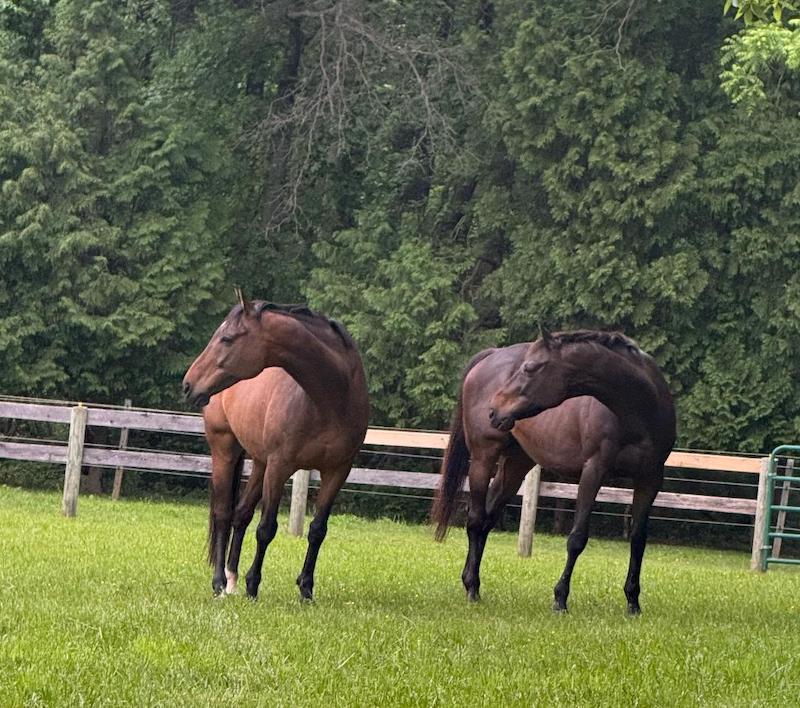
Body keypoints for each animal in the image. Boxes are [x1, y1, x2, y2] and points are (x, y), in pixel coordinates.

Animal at [182, 293, 369, 600]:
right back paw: (219, 583)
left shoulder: (338, 471)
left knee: (241, 514)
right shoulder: (280, 466)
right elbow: (266, 528)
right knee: (223, 514)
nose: (188, 384)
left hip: (260, 463)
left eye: (227, 338)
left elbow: (318, 529)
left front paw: (306, 589)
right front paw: (253, 586)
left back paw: (231, 579)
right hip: (225, 450)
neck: (330, 400)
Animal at [431, 329, 675, 614]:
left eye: (530, 367)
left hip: (516, 465)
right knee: (476, 520)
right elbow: (577, 538)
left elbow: (638, 540)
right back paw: (471, 587)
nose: (494, 409)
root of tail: (490, 355)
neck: (640, 408)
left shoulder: (650, 479)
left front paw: (633, 602)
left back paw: (473, 585)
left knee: (488, 520)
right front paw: (560, 599)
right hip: (483, 458)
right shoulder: (594, 470)